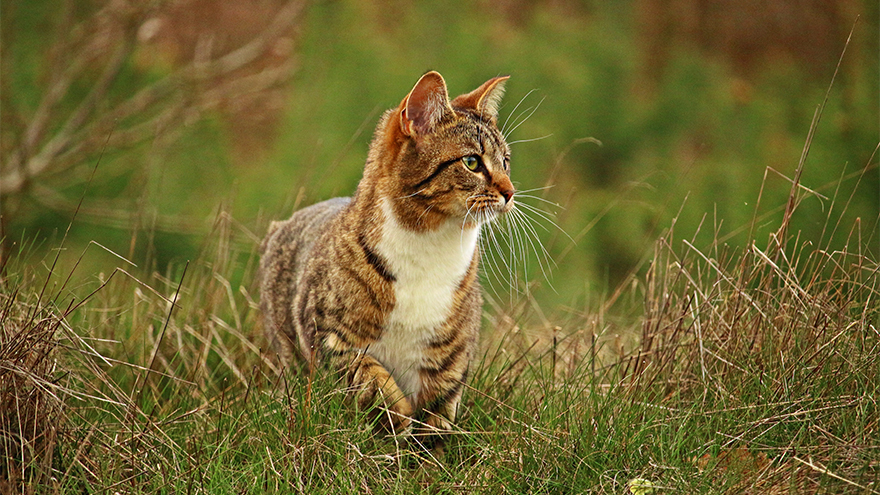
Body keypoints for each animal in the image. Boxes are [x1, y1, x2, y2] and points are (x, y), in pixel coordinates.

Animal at [258, 71, 512, 448]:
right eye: (472, 162)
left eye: (506, 161)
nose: (511, 192)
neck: (431, 245)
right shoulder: (329, 336)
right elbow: (371, 380)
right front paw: (396, 418)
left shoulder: (451, 355)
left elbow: (437, 414)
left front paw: (424, 450)